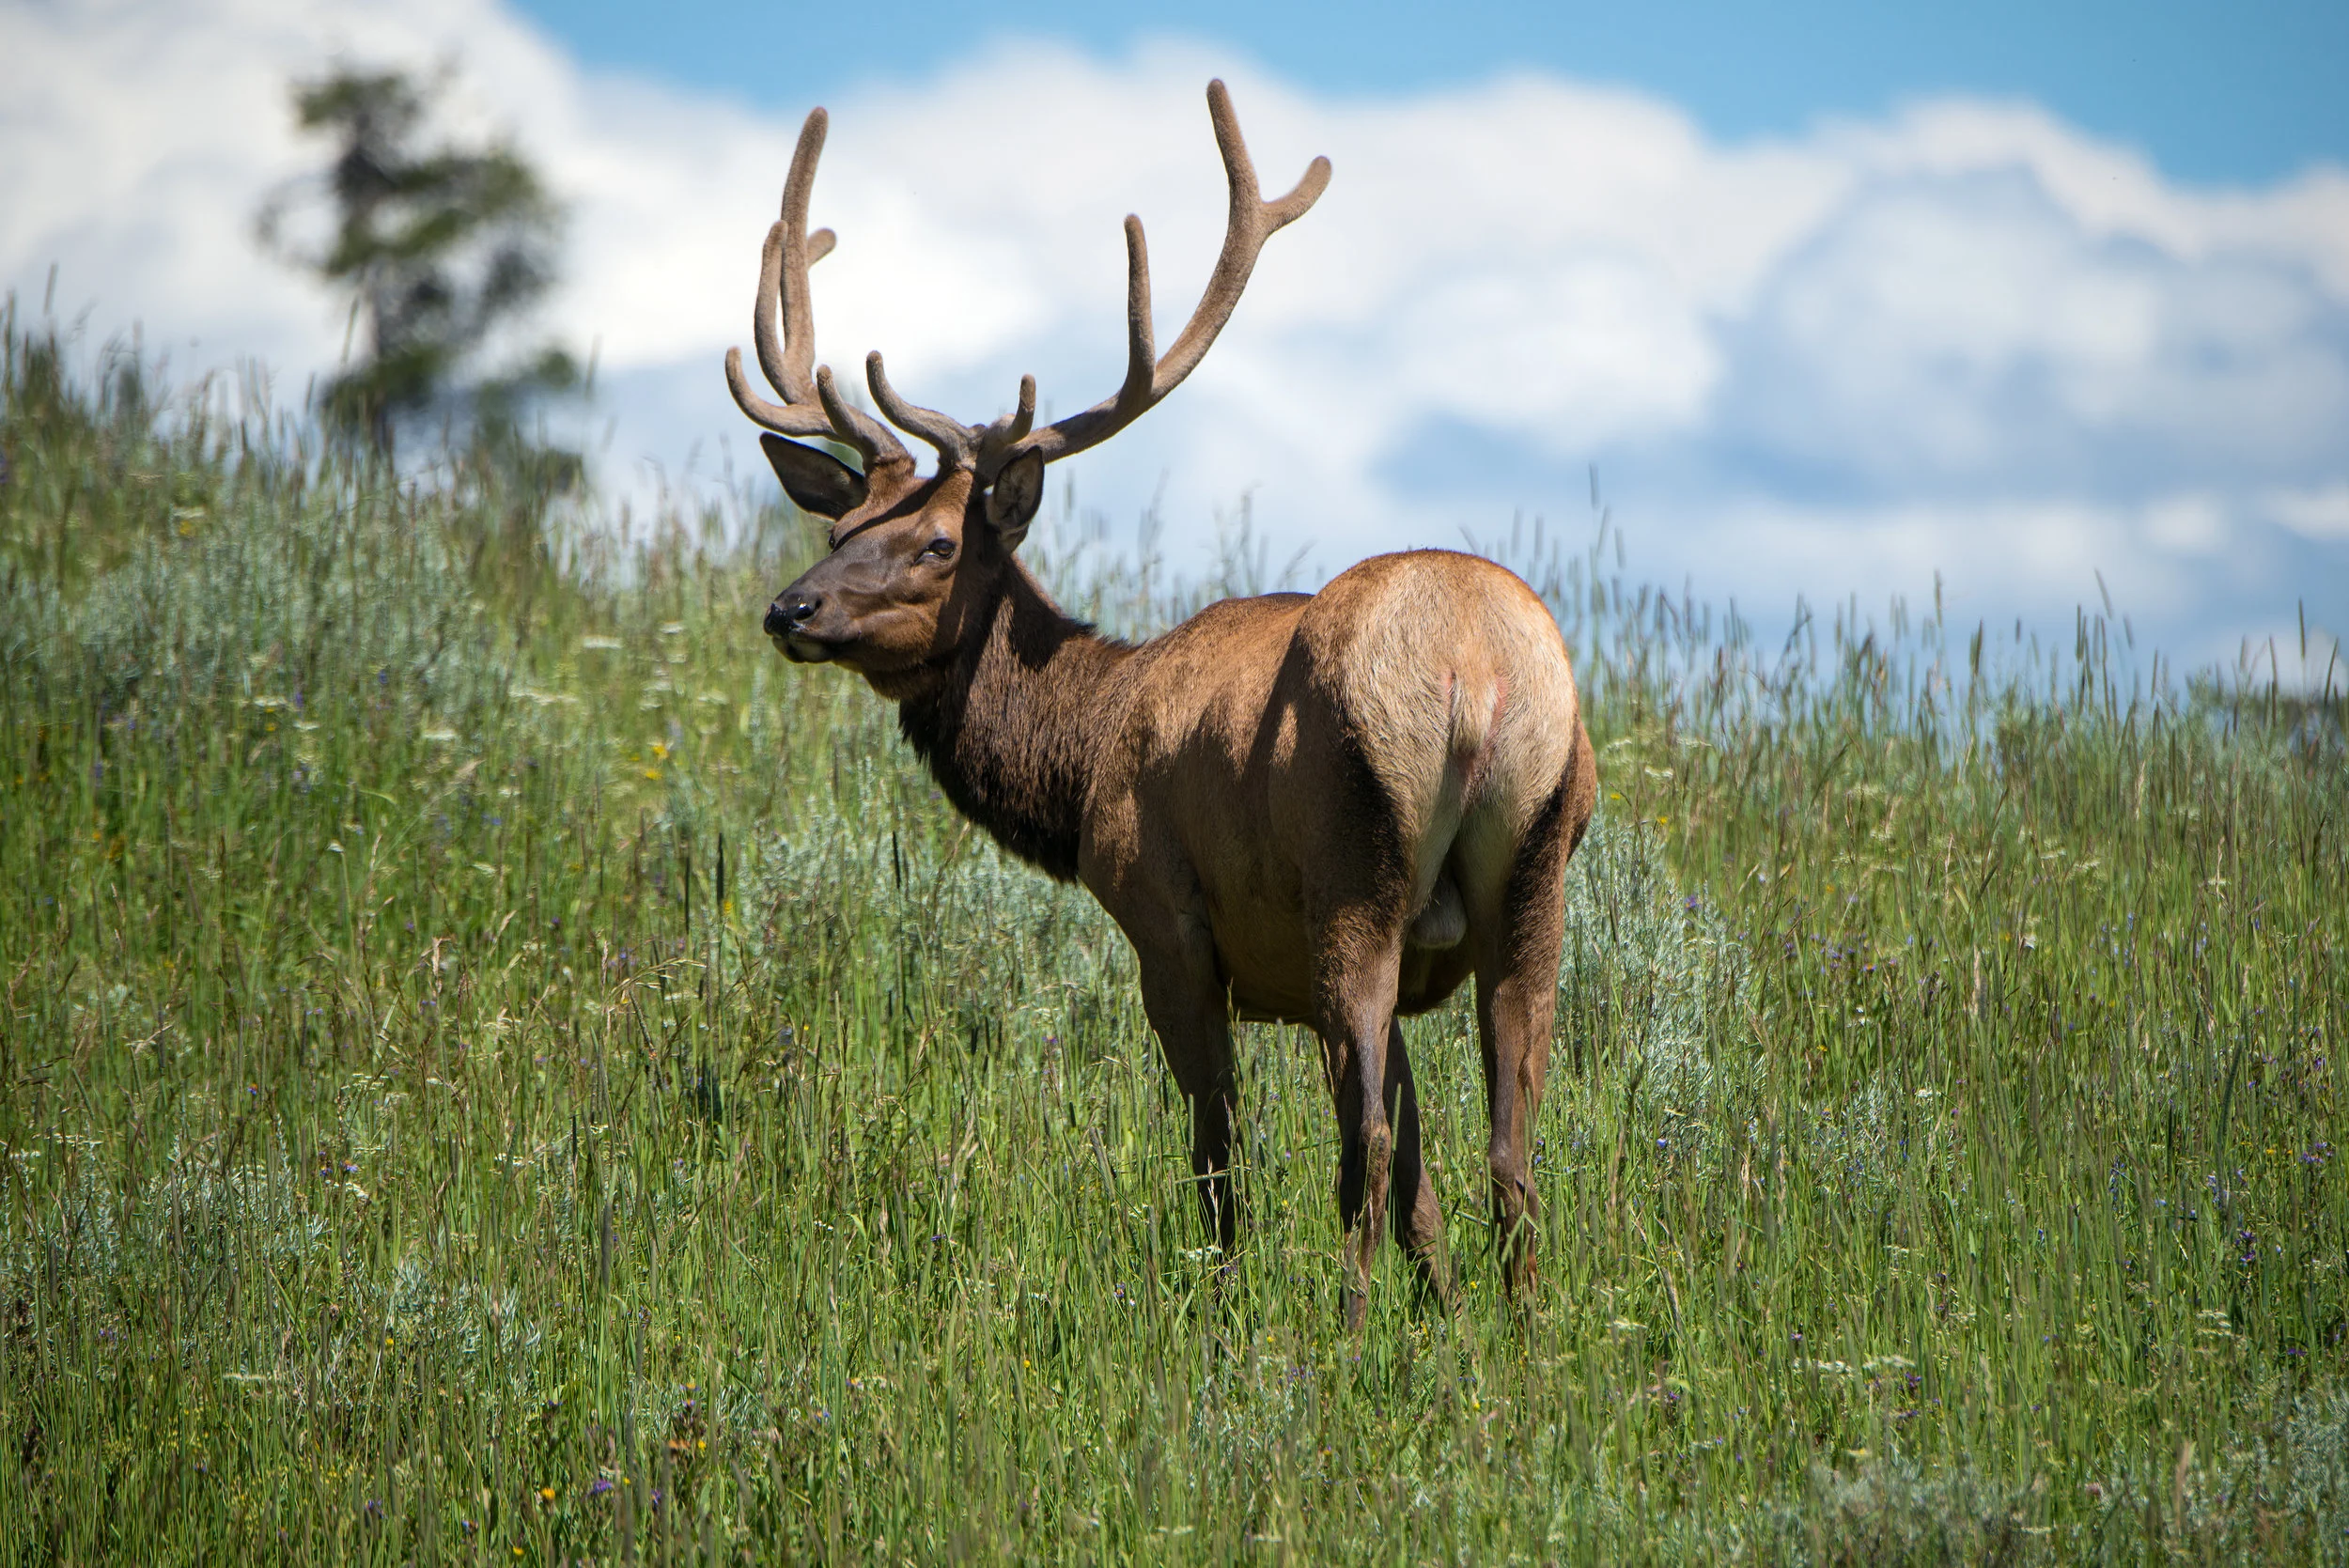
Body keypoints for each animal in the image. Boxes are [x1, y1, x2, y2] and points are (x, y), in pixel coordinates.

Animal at [729, 81, 1599, 1326]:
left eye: (938, 544)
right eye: (841, 526)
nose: (790, 608)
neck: (1081, 755)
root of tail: (1476, 671)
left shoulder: (1163, 919)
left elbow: (1219, 1154)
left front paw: (1222, 1309)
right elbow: (1426, 1177)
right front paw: (1443, 1314)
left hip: (1349, 870)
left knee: (1363, 1145)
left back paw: (1343, 1330)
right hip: (1535, 872)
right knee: (1508, 1150)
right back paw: (1521, 1329)